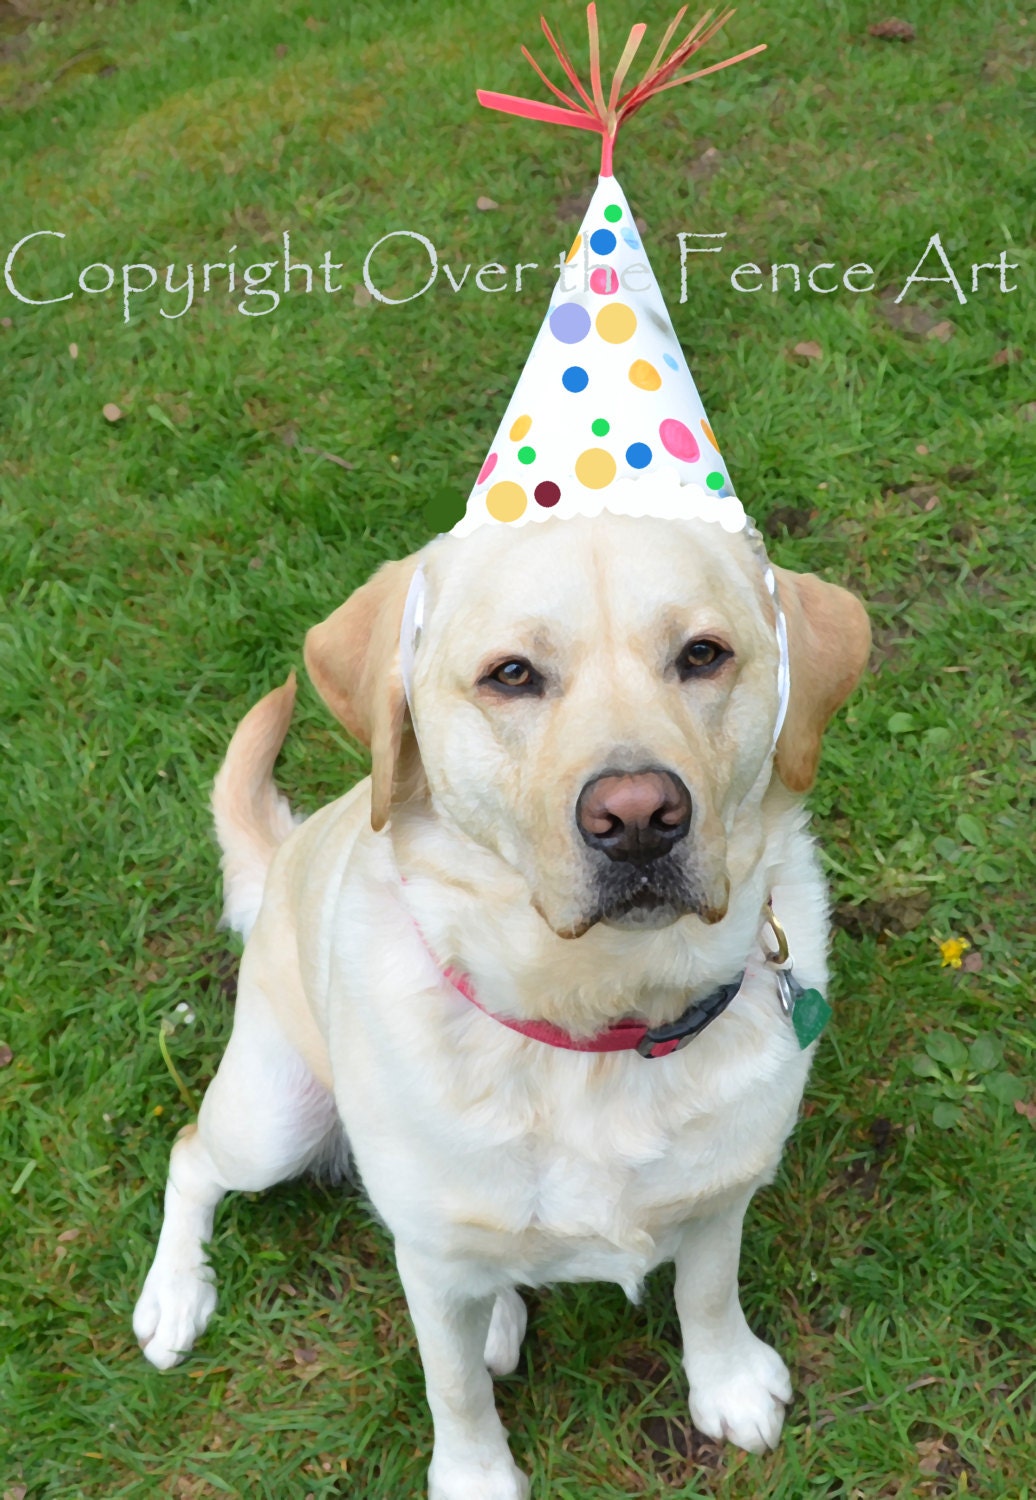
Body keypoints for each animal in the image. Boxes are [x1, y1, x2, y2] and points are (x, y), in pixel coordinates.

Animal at [133, 510, 869, 1494]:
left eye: (704, 655)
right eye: (512, 675)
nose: (639, 818)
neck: (601, 1019)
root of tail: (280, 859)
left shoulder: (721, 1194)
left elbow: (707, 1292)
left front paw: (730, 1383)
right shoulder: (433, 1263)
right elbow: (453, 1391)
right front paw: (476, 1476)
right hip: (272, 1122)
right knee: (191, 1157)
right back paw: (175, 1295)